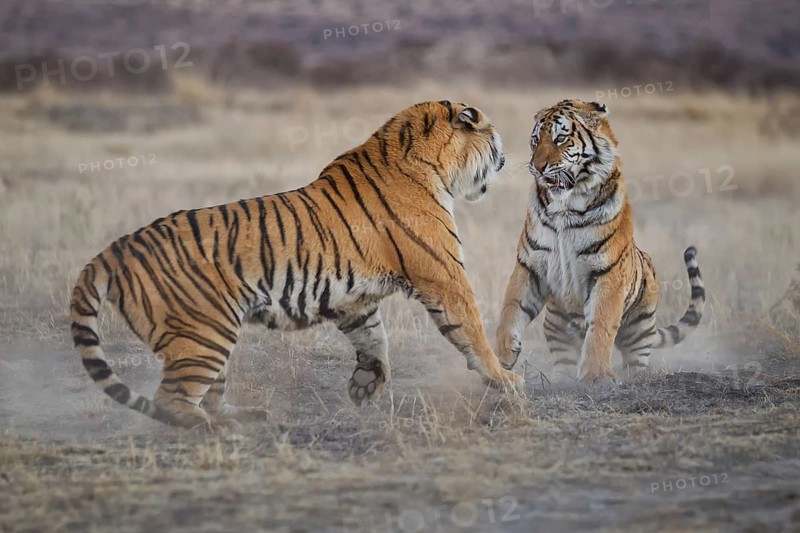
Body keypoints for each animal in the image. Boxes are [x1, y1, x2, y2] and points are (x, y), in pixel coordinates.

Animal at [70, 100, 521, 429]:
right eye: (494, 137)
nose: (505, 158)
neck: (432, 165)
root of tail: (115, 248)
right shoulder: (443, 275)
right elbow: (471, 329)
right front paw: (504, 379)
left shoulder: (354, 300)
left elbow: (374, 339)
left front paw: (366, 386)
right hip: (202, 334)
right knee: (170, 400)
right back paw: (216, 429)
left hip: (207, 339)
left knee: (207, 393)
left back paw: (247, 416)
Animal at [495, 99, 706, 384]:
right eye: (536, 140)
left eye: (560, 138)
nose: (537, 167)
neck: (565, 208)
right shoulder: (530, 264)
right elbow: (511, 308)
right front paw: (503, 355)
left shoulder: (608, 272)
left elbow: (601, 325)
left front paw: (596, 376)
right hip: (555, 325)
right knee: (564, 359)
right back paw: (559, 378)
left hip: (639, 328)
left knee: (636, 360)